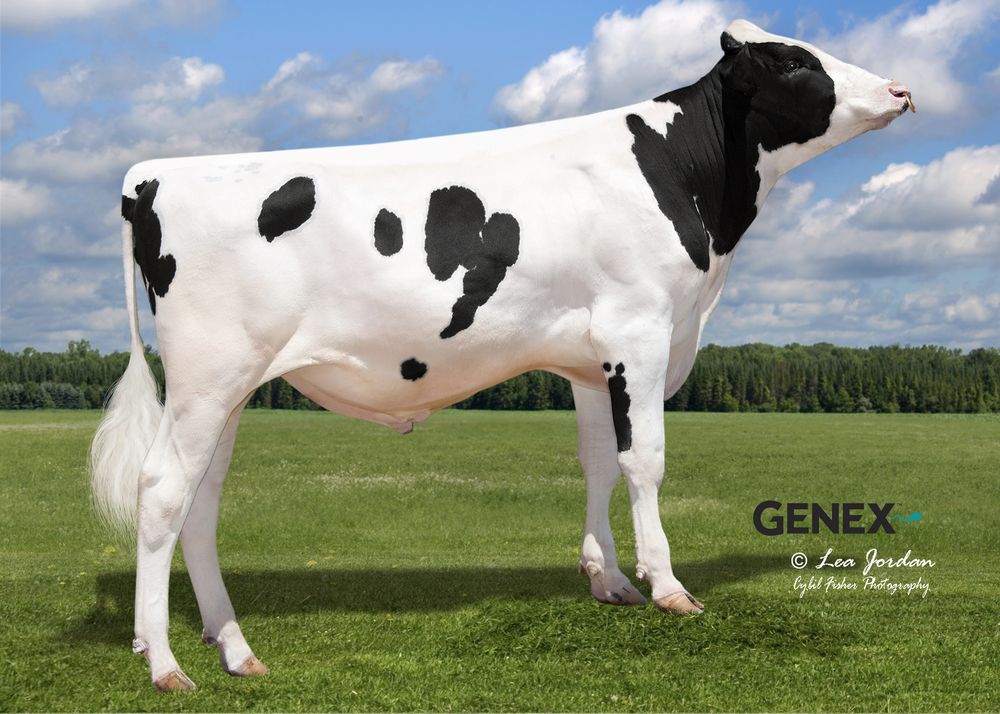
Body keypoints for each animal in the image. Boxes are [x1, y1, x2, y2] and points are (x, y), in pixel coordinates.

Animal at [90, 19, 912, 691]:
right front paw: (667, 586)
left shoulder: (590, 362)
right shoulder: (642, 335)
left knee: (200, 503)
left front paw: (607, 578)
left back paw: (233, 647)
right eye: (793, 59)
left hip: (226, 389)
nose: (902, 89)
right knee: (161, 492)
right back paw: (166, 663)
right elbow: (644, 462)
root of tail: (152, 173)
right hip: (206, 376)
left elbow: (597, 463)